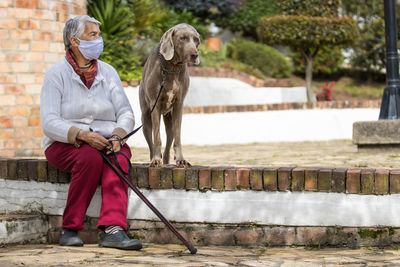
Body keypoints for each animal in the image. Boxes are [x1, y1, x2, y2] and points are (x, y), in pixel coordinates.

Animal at [139, 24, 200, 168]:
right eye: (182, 38)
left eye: (196, 40)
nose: (195, 55)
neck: (172, 68)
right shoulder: (154, 105)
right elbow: (156, 138)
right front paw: (156, 160)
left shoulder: (179, 104)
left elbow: (178, 137)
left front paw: (181, 160)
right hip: (145, 117)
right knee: (151, 142)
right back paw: (154, 158)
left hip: (169, 118)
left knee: (169, 143)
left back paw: (166, 161)